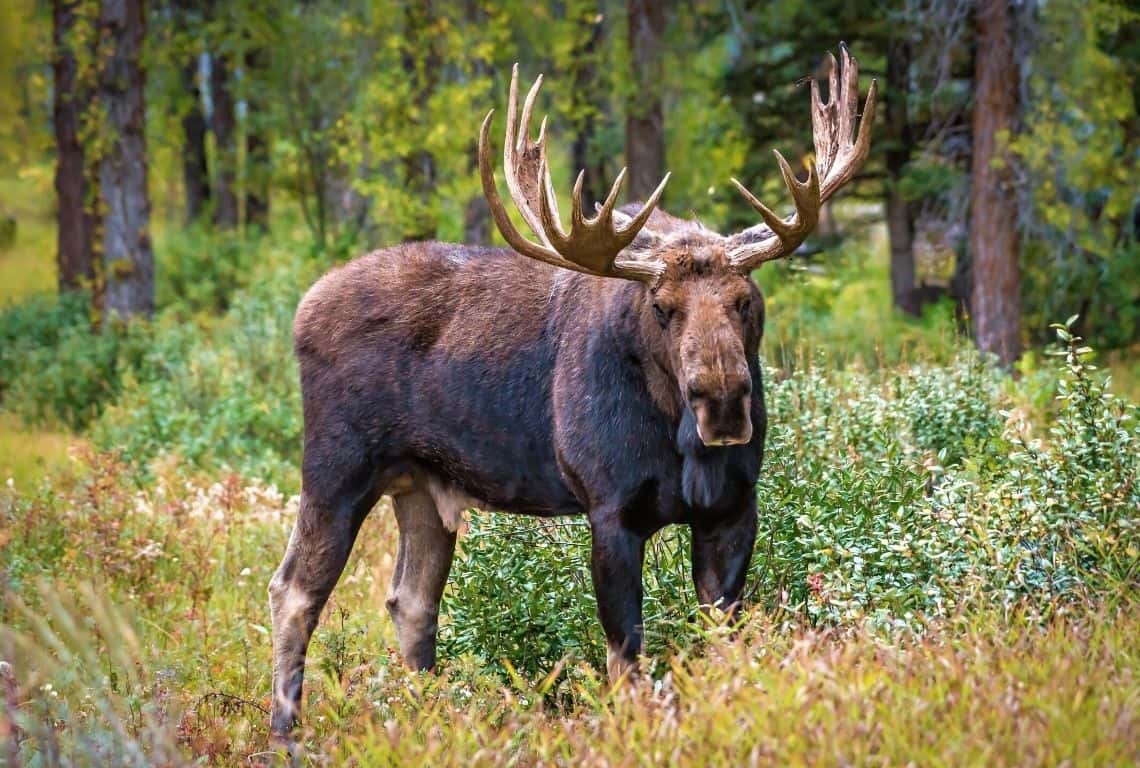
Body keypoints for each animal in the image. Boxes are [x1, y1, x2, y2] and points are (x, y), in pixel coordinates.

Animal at [266, 43, 870, 733]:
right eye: (661, 307)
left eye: (746, 300)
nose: (721, 403)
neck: (678, 438)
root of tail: (302, 309)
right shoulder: (609, 509)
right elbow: (625, 654)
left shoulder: (734, 506)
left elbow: (721, 640)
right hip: (336, 467)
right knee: (294, 590)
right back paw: (285, 731)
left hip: (421, 486)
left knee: (410, 600)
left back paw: (429, 719)